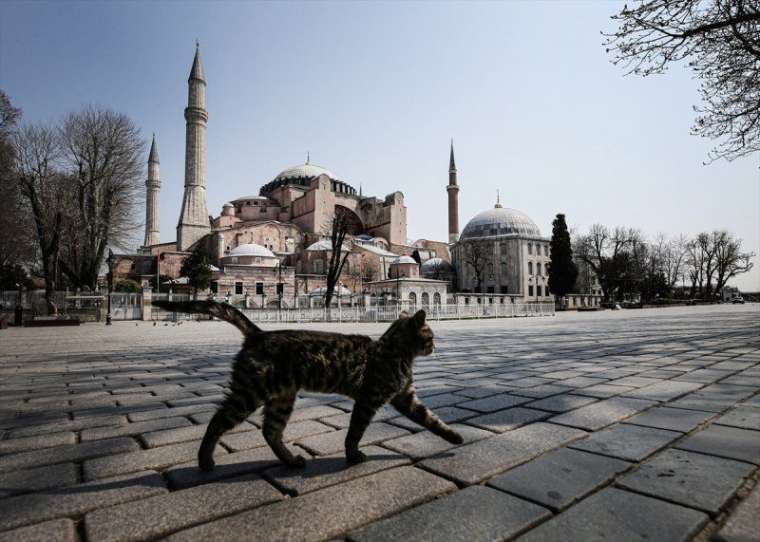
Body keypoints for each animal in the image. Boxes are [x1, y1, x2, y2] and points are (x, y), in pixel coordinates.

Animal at [153, 302, 464, 472]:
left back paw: (291, 461)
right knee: (217, 421)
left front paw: (454, 438)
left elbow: (432, 420)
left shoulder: (404, 397)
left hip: (281, 398)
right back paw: (205, 461)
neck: (396, 351)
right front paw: (352, 456)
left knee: (270, 431)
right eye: (430, 334)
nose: (435, 346)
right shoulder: (369, 400)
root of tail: (258, 333)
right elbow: (355, 432)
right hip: (249, 393)